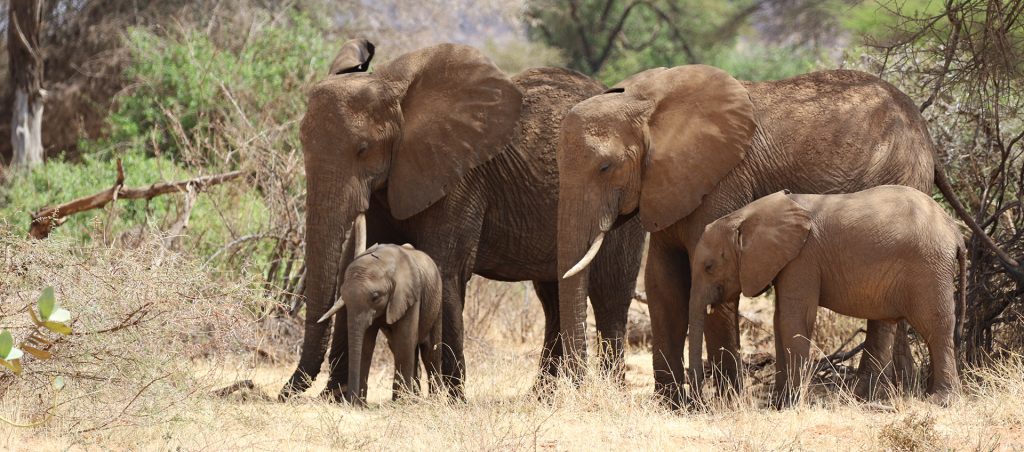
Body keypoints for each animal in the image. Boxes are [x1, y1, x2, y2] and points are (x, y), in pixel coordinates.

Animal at [317, 242, 442, 405]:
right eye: (343, 295)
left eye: (375, 297)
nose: (349, 400)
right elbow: (366, 345)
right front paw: (359, 405)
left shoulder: (410, 295)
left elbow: (405, 341)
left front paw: (402, 404)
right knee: (399, 347)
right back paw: (414, 398)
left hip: (437, 301)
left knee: (430, 351)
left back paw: (434, 400)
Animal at [684, 184, 962, 407]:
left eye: (709, 267)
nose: (699, 403)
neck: (746, 215)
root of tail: (954, 229)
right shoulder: (788, 261)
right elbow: (779, 321)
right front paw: (779, 403)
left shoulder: (803, 258)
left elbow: (794, 320)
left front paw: (791, 404)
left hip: (930, 267)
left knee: (936, 328)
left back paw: (940, 401)